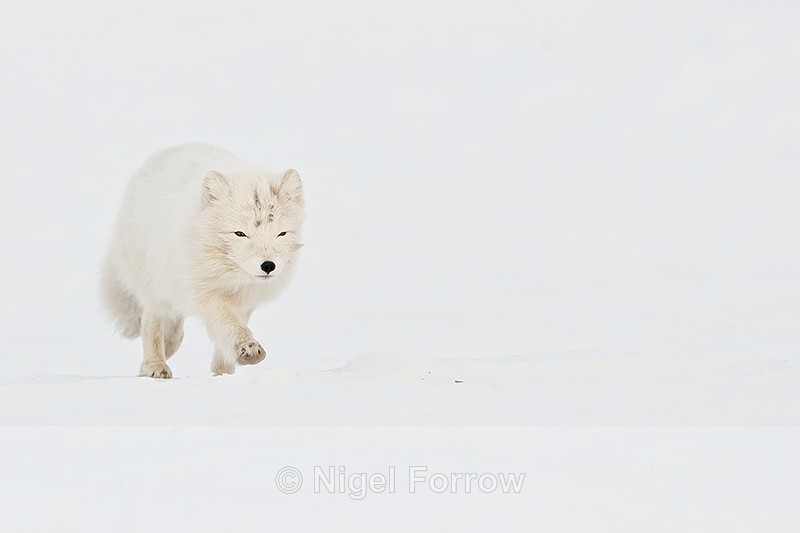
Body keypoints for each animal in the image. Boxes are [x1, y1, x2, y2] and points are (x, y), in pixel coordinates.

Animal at [100, 143, 305, 378]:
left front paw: (223, 373)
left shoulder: (245, 300)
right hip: (155, 285)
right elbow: (229, 324)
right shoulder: (206, 293)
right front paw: (247, 347)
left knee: (173, 334)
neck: (231, 276)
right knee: (151, 323)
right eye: (240, 233)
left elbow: (225, 340)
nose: (268, 266)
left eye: (281, 233)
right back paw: (154, 366)